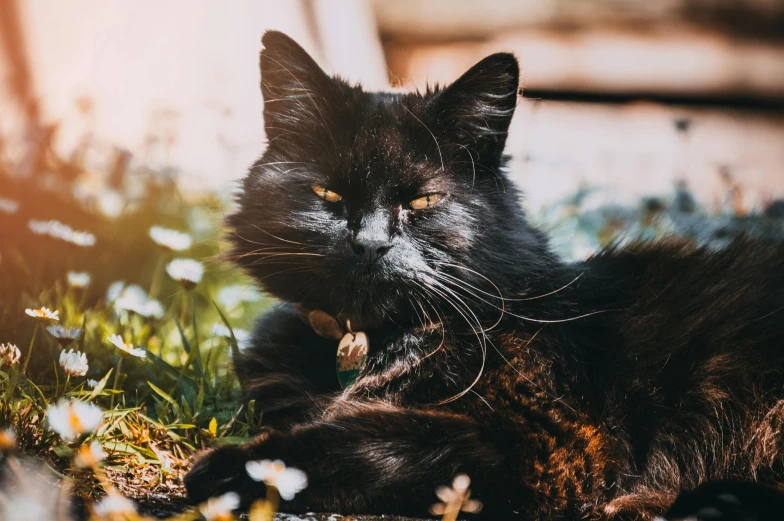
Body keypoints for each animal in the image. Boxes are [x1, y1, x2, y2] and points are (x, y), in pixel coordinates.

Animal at [185, 32, 784, 520]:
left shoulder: (555, 444)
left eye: (423, 201)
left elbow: (368, 437)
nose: (370, 243)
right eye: (328, 195)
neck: (374, 343)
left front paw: (231, 468)